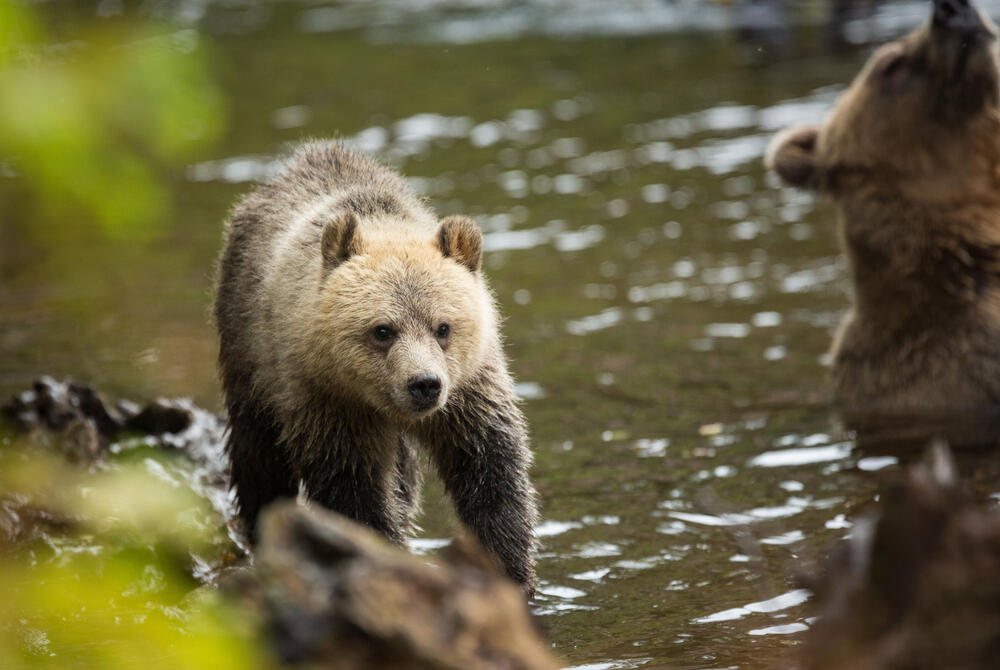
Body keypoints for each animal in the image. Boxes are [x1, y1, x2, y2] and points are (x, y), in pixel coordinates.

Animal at [213, 141, 538, 593]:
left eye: (443, 327)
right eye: (383, 330)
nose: (424, 384)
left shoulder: (469, 392)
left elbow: (491, 470)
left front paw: (510, 569)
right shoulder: (327, 401)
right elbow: (354, 492)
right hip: (248, 349)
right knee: (258, 450)